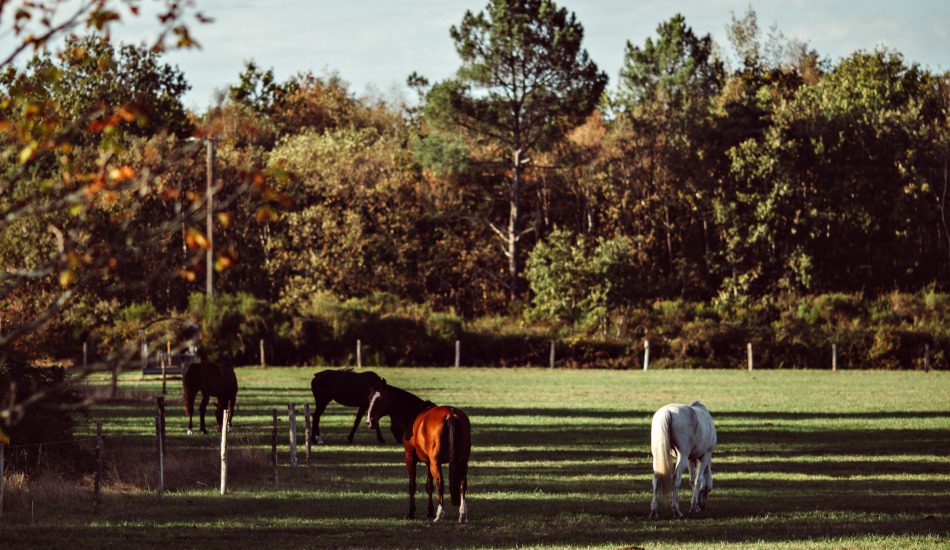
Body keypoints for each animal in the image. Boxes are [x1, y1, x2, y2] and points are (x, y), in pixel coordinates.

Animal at [366, 382, 470, 524]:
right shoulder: (428, 462)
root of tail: (450, 414)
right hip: (461, 461)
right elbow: (429, 486)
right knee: (462, 484)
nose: (369, 421)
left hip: (436, 463)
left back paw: (440, 514)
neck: (414, 415)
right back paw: (462, 514)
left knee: (440, 483)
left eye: (380, 399)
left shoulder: (410, 458)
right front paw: (429, 511)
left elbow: (413, 485)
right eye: (369, 398)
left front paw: (411, 512)